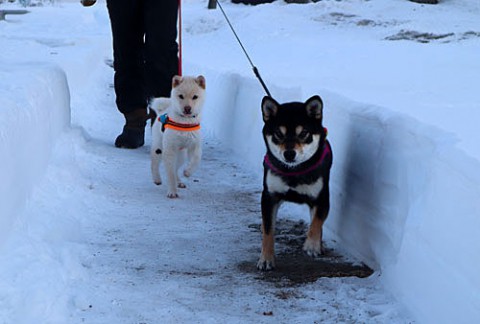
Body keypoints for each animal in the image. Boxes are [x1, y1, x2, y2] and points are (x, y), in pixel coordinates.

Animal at [256, 95, 332, 270]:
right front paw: (266, 258)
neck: (294, 171)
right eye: (278, 133)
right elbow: (269, 231)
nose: (289, 154)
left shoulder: (322, 198)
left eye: (303, 133)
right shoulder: (269, 196)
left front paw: (312, 245)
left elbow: (317, 222)